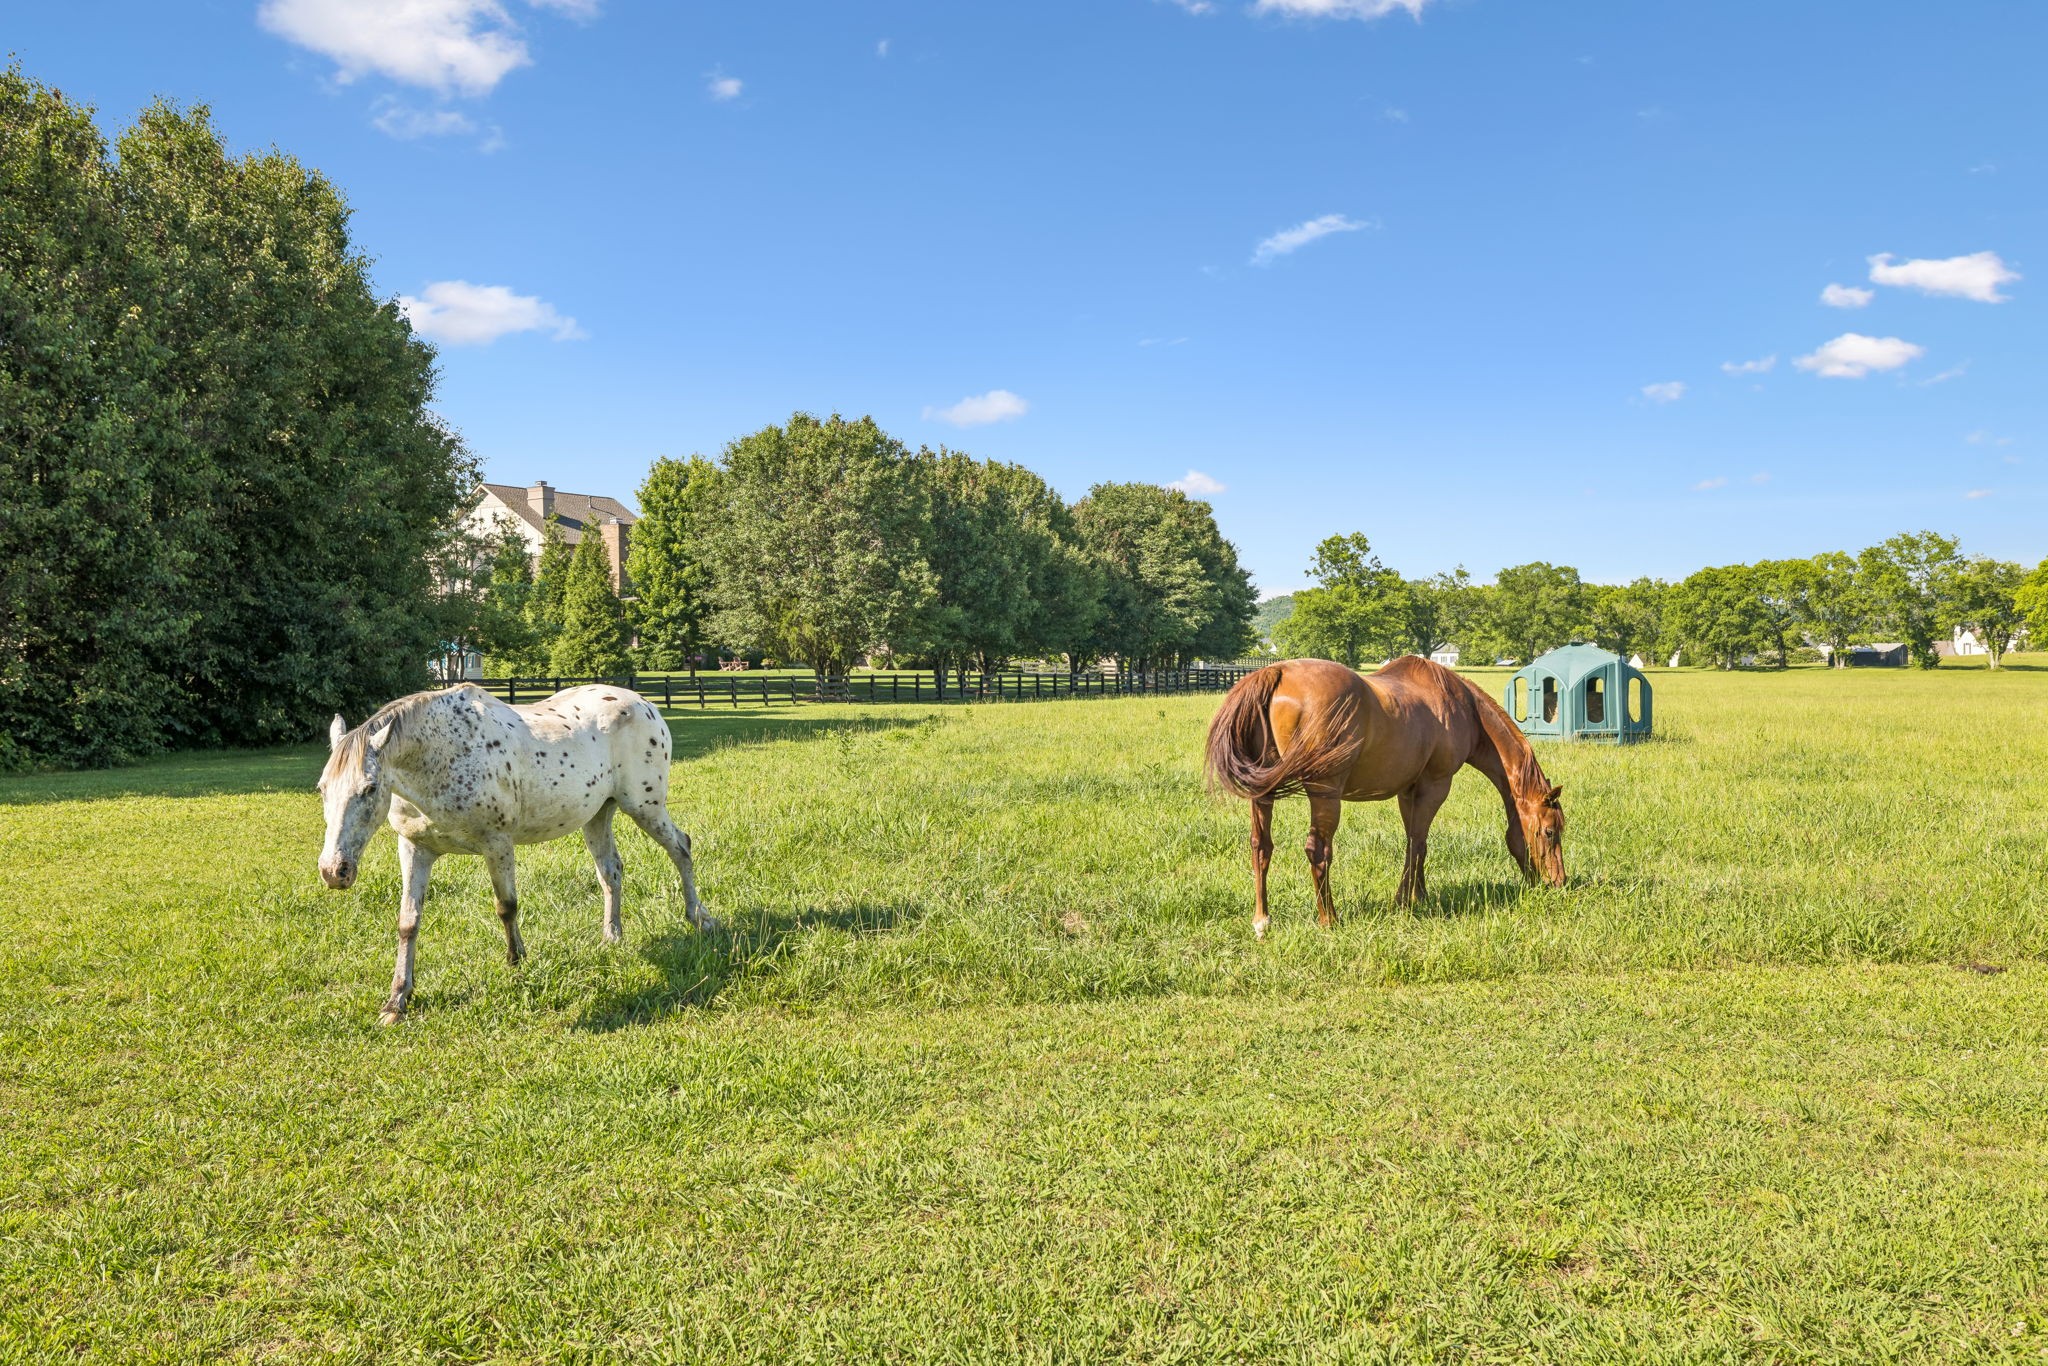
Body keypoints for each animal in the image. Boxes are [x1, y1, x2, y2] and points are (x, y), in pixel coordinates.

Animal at [317, 682, 718, 1023]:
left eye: (370, 788)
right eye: (322, 788)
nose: (334, 870)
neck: (441, 756)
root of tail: (645, 704)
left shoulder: (497, 843)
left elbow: (506, 907)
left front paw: (516, 961)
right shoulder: (416, 848)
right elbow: (408, 922)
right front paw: (397, 1000)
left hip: (645, 807)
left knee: (681, 848)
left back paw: (700, 918)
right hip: (598, 814)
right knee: (611, 871)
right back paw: (612, 937)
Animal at [1204, 656, 1565, 937]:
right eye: (1550, 831)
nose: (1557, 882)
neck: (1462, 707)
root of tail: (1276, 672)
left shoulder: (1409, 791)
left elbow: (1414, 843)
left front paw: (1418, 894)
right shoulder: (1436, 785)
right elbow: (1418, 843)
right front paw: (1405, 900)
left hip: (1262, 794)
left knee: (1261, 846)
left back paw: (1262, 920)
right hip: (1325, 795)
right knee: (1317, 850)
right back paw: (1329, 919)